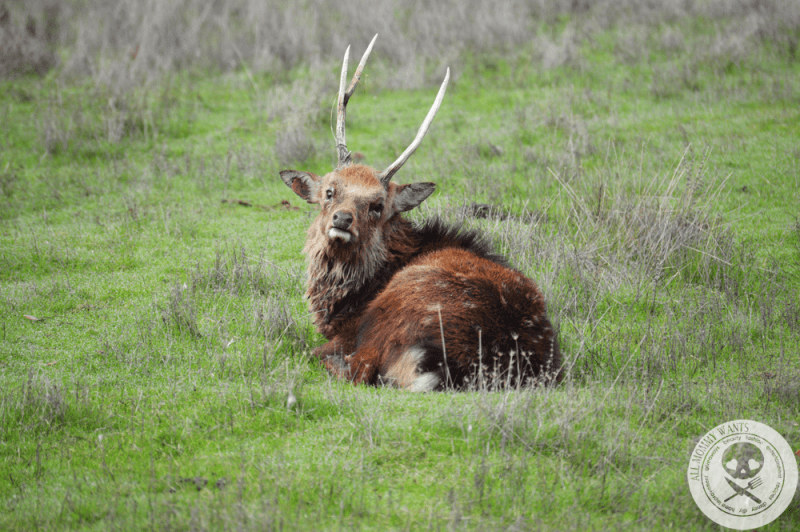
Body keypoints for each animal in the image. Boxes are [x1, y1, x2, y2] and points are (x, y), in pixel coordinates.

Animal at [282, 34, 564, 390]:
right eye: (329, 192)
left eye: (378, 206)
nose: (342, 219)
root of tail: (449, 368)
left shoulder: (349, 331)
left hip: (396, 307)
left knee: (356, 368)